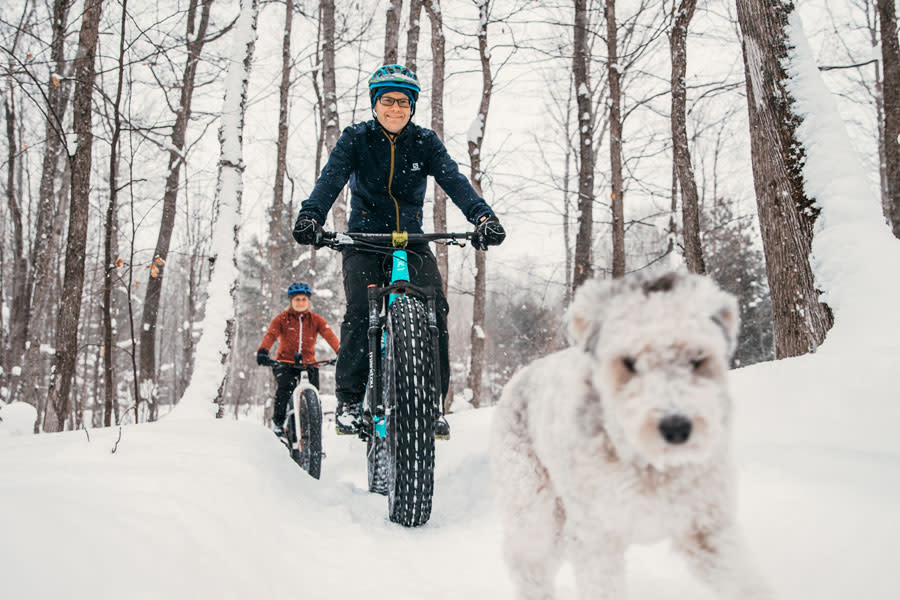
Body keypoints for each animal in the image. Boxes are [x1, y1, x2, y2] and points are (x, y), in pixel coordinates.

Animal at [492, 270, 772, 596]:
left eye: (697, 358)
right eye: (629, 361)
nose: (677, 428)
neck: (650, 465)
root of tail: (520, 375)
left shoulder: (707, 528)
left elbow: (745, 584)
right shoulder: (596, 539)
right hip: (533, 510)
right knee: (528, 567)